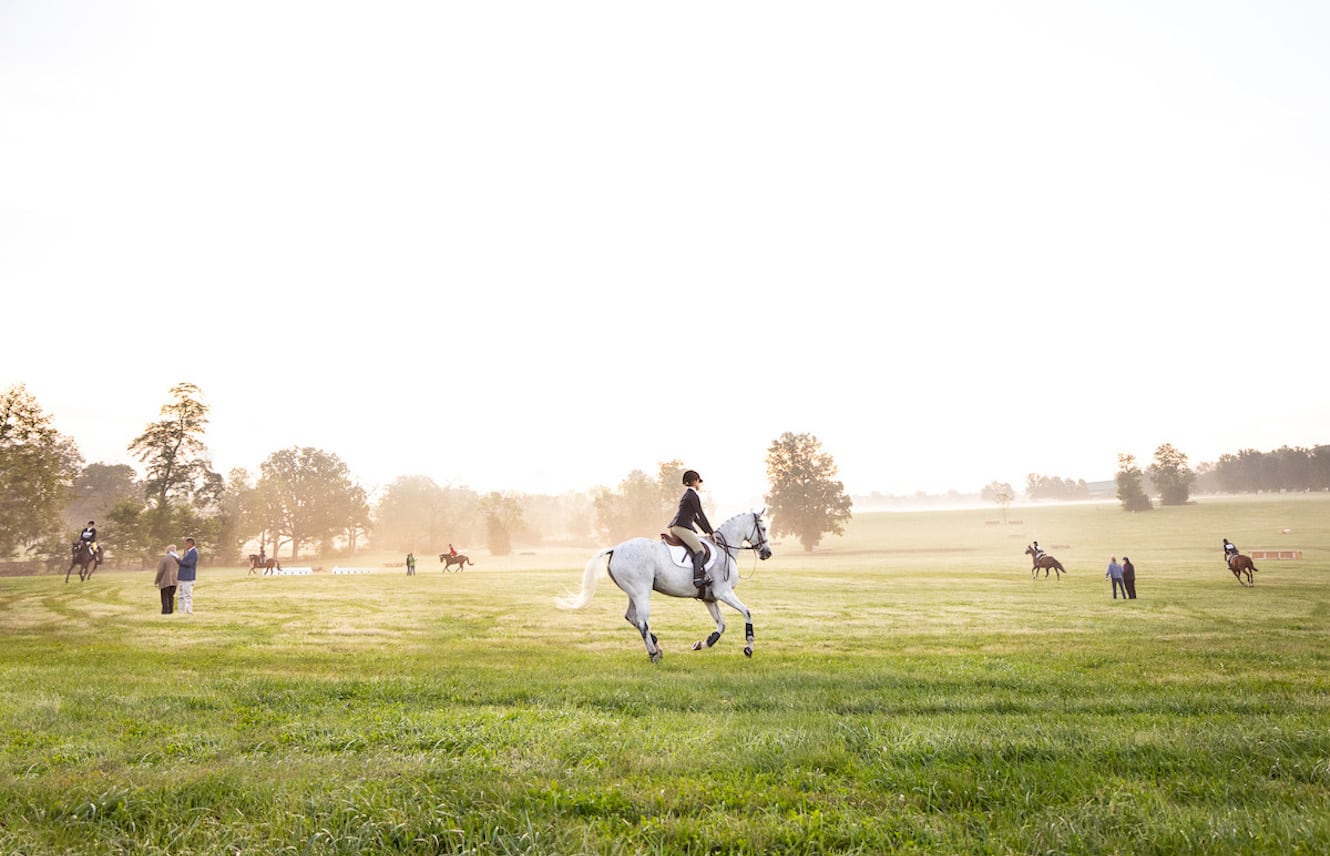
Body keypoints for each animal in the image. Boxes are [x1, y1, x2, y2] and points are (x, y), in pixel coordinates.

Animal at [555, 507, 776, 661]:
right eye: (764, 528)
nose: (767, 553)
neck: (724, 548)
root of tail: (615, 549)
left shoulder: (710, 598)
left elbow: (721, 625)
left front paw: (702, 643)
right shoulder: (724, 592)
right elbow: (747, 612)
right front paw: (748, 648)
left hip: (634, 593)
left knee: (632, 618)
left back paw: (657, 648)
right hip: (642, 592)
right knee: (642, 623)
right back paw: (654, 654)